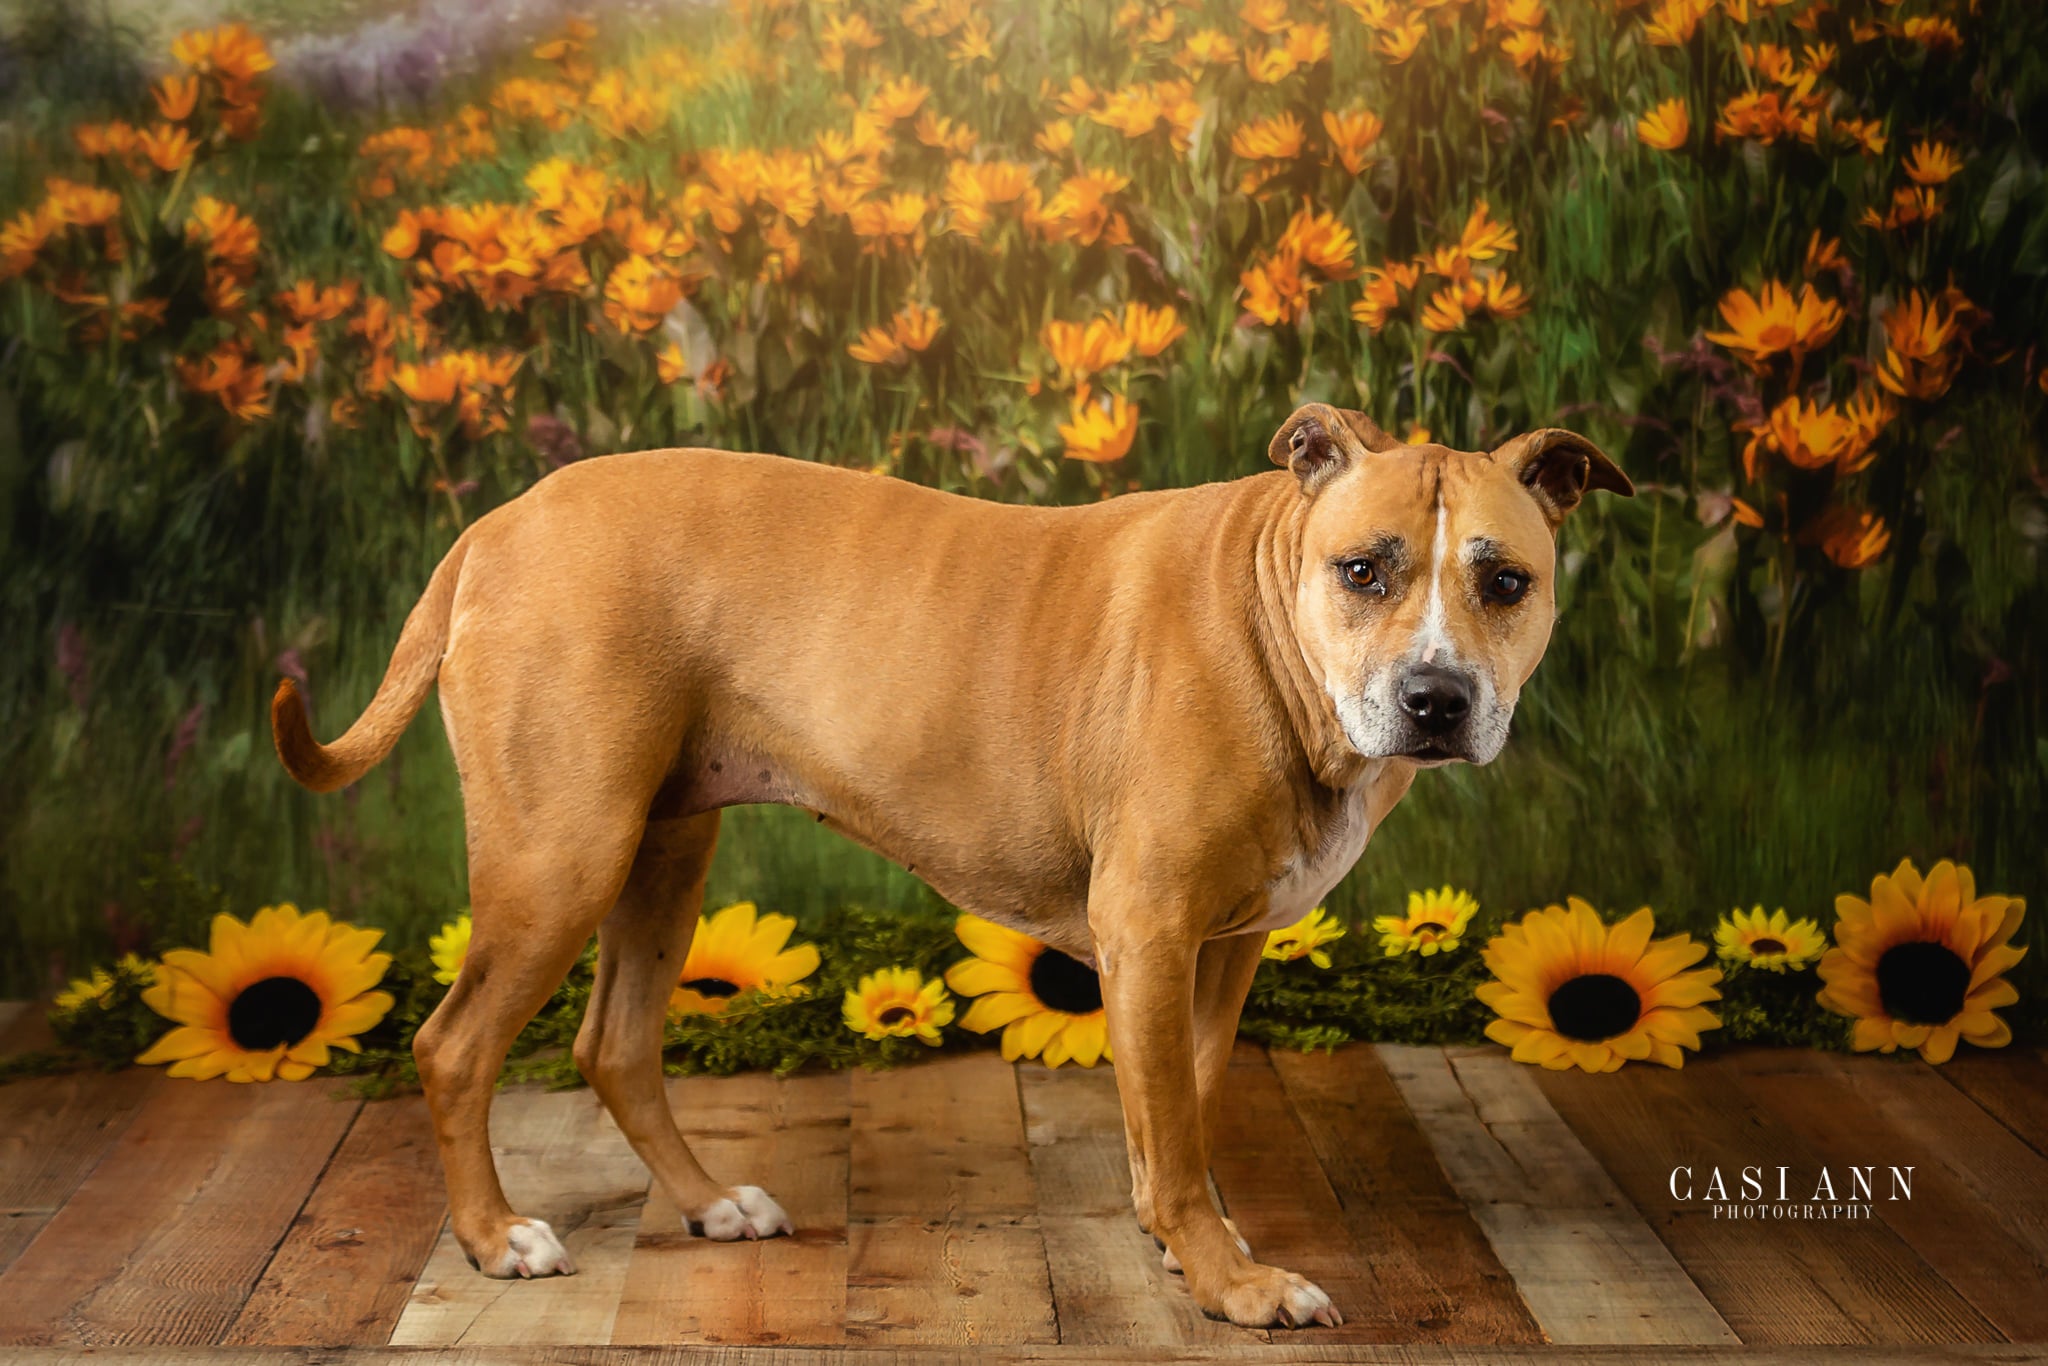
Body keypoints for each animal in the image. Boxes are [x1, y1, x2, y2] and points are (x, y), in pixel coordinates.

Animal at [276, 403, 1630, 1327]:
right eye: (1363, 569)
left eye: (1504, 580)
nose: (1436, 699)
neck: (1270, 620)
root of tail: (494, 526)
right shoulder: (1148, 932)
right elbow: (1172, 1126)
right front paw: (1232, 1281)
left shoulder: (1219, 948)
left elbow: (1179, 1107)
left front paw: (1183, 1238)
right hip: (563, 853)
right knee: (454, 1046)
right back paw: (493, 1236)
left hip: (662, 846)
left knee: (614, 1044)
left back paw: (713, 1202)